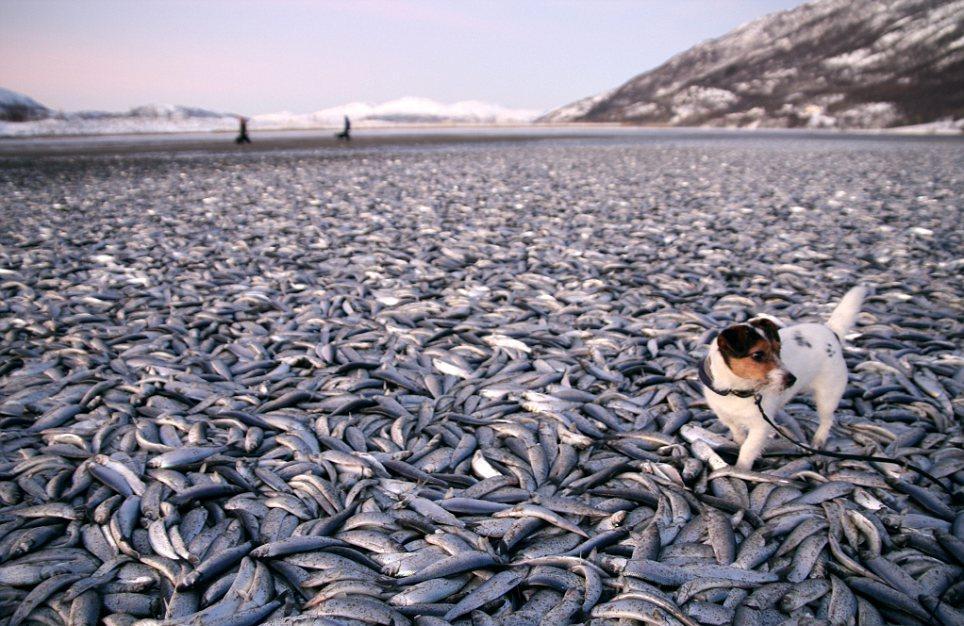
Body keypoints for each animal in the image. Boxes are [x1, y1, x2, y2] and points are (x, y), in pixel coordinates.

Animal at [700, 286, 868, 466]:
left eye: (778, 350)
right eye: (758, 355)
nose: (792, 380)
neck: (736, 390)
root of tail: (831, 332)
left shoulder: (760, 426)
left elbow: (747, 450)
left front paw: (740, 469)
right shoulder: (727, 418)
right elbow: (739, 435)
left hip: (828, 395)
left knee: (827, 420)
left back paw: (818, 440)